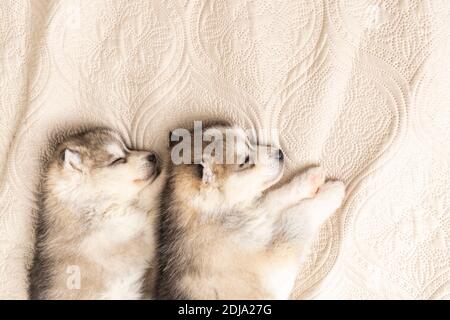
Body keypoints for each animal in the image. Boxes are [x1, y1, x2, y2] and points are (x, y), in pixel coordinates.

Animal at [156, 123, 346, 300]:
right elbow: (299, 216)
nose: (280, 153)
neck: (217, 214)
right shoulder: (273, 265)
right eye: (246, 160)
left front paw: (309, 179)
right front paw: (332, 193)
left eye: (249, 141)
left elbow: (275, 196)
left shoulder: (258, 213)